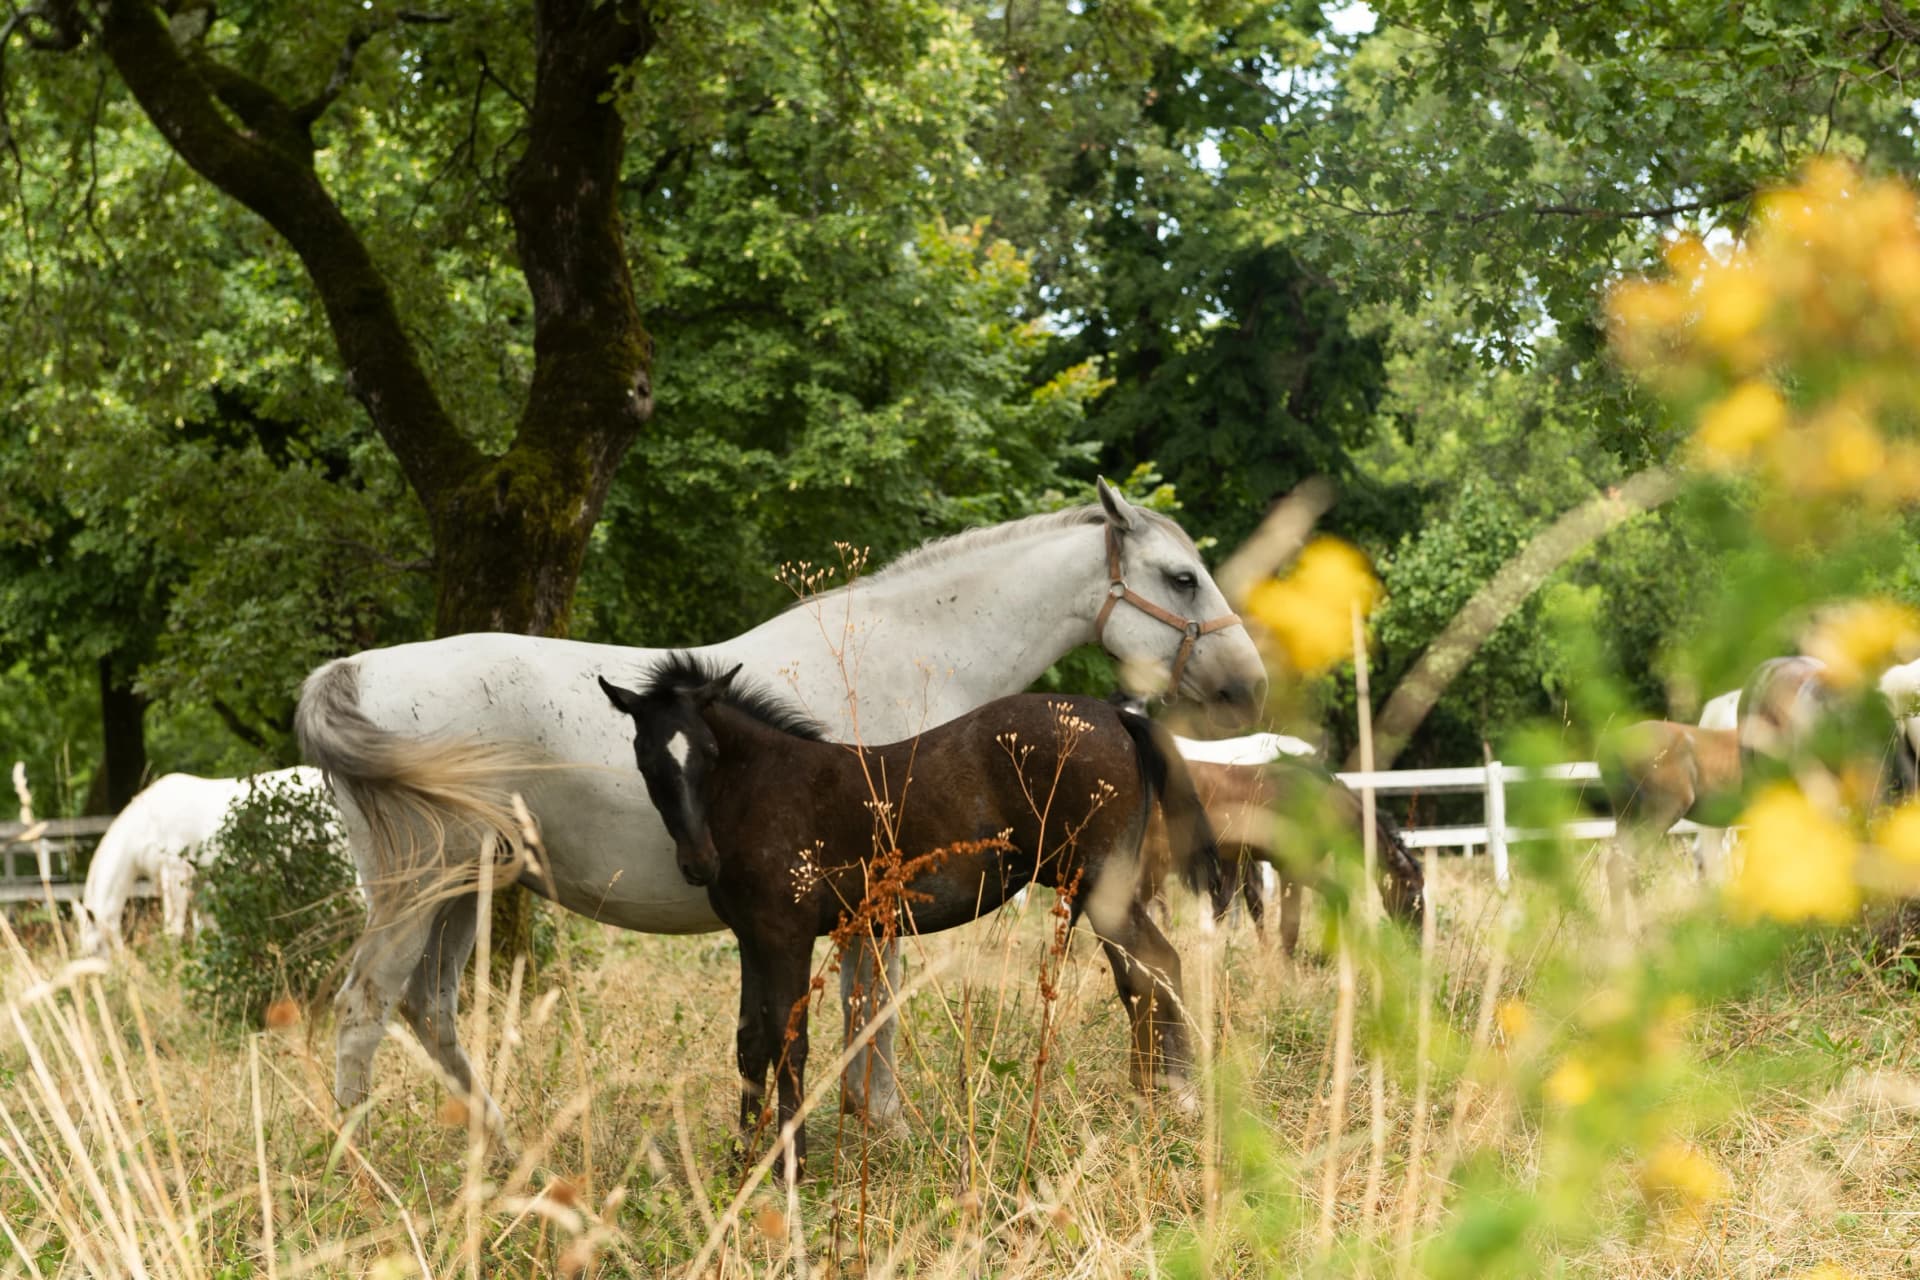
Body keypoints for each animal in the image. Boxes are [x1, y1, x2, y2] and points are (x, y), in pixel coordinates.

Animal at [75, 766, 331, 957]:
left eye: (94, 948)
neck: (147, 825)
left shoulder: (177, 874)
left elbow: (174, 933)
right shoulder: (201, 885)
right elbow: (210, 935)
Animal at [597, 655, 1227, 1177]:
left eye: (708, 753)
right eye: (647, 761)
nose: (698, 863)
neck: (761, 787)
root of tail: (1116, 717)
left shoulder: (786, 934)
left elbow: (789, 1041)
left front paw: (790, 1167)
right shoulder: (752, 936)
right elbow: (751, 1041)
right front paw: (741, 1161)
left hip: (1101, 888)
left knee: (1155, 966)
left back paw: (1175, 1097)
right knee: (1141, 976)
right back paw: (1154, 1093)